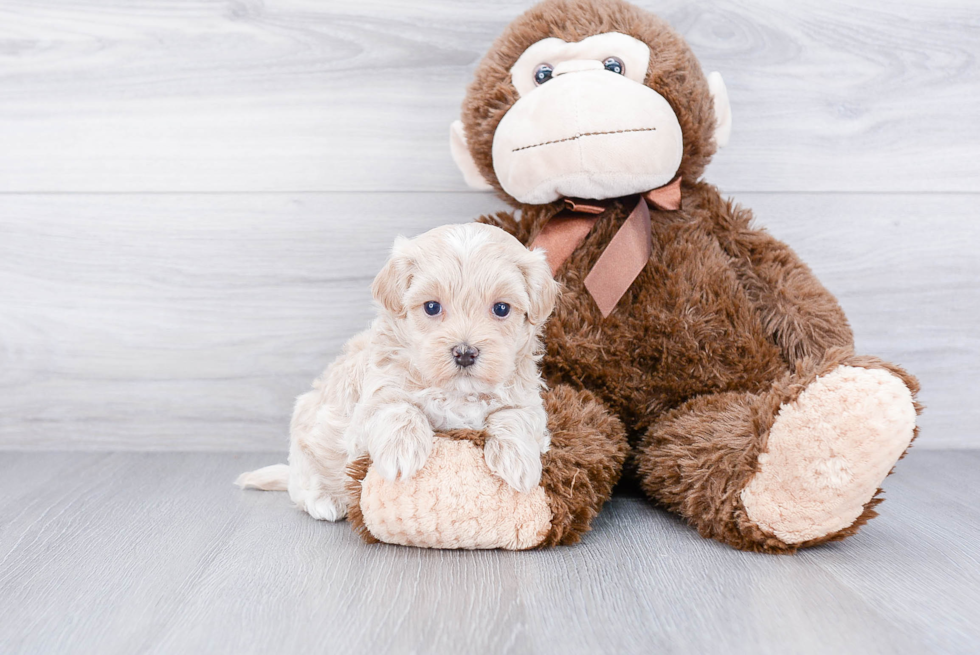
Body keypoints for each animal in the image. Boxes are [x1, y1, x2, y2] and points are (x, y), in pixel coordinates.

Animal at [236, 226, 556, 524]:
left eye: (501, 308)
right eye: (432, 307)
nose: (465, 352)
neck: (455, 392)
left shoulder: (528, 401)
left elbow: (515, 416)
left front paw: (518, 462)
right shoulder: (370, 402)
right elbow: (397, 406)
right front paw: (403, 452)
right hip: (305, 445)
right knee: (303, 486)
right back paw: (325, 502)